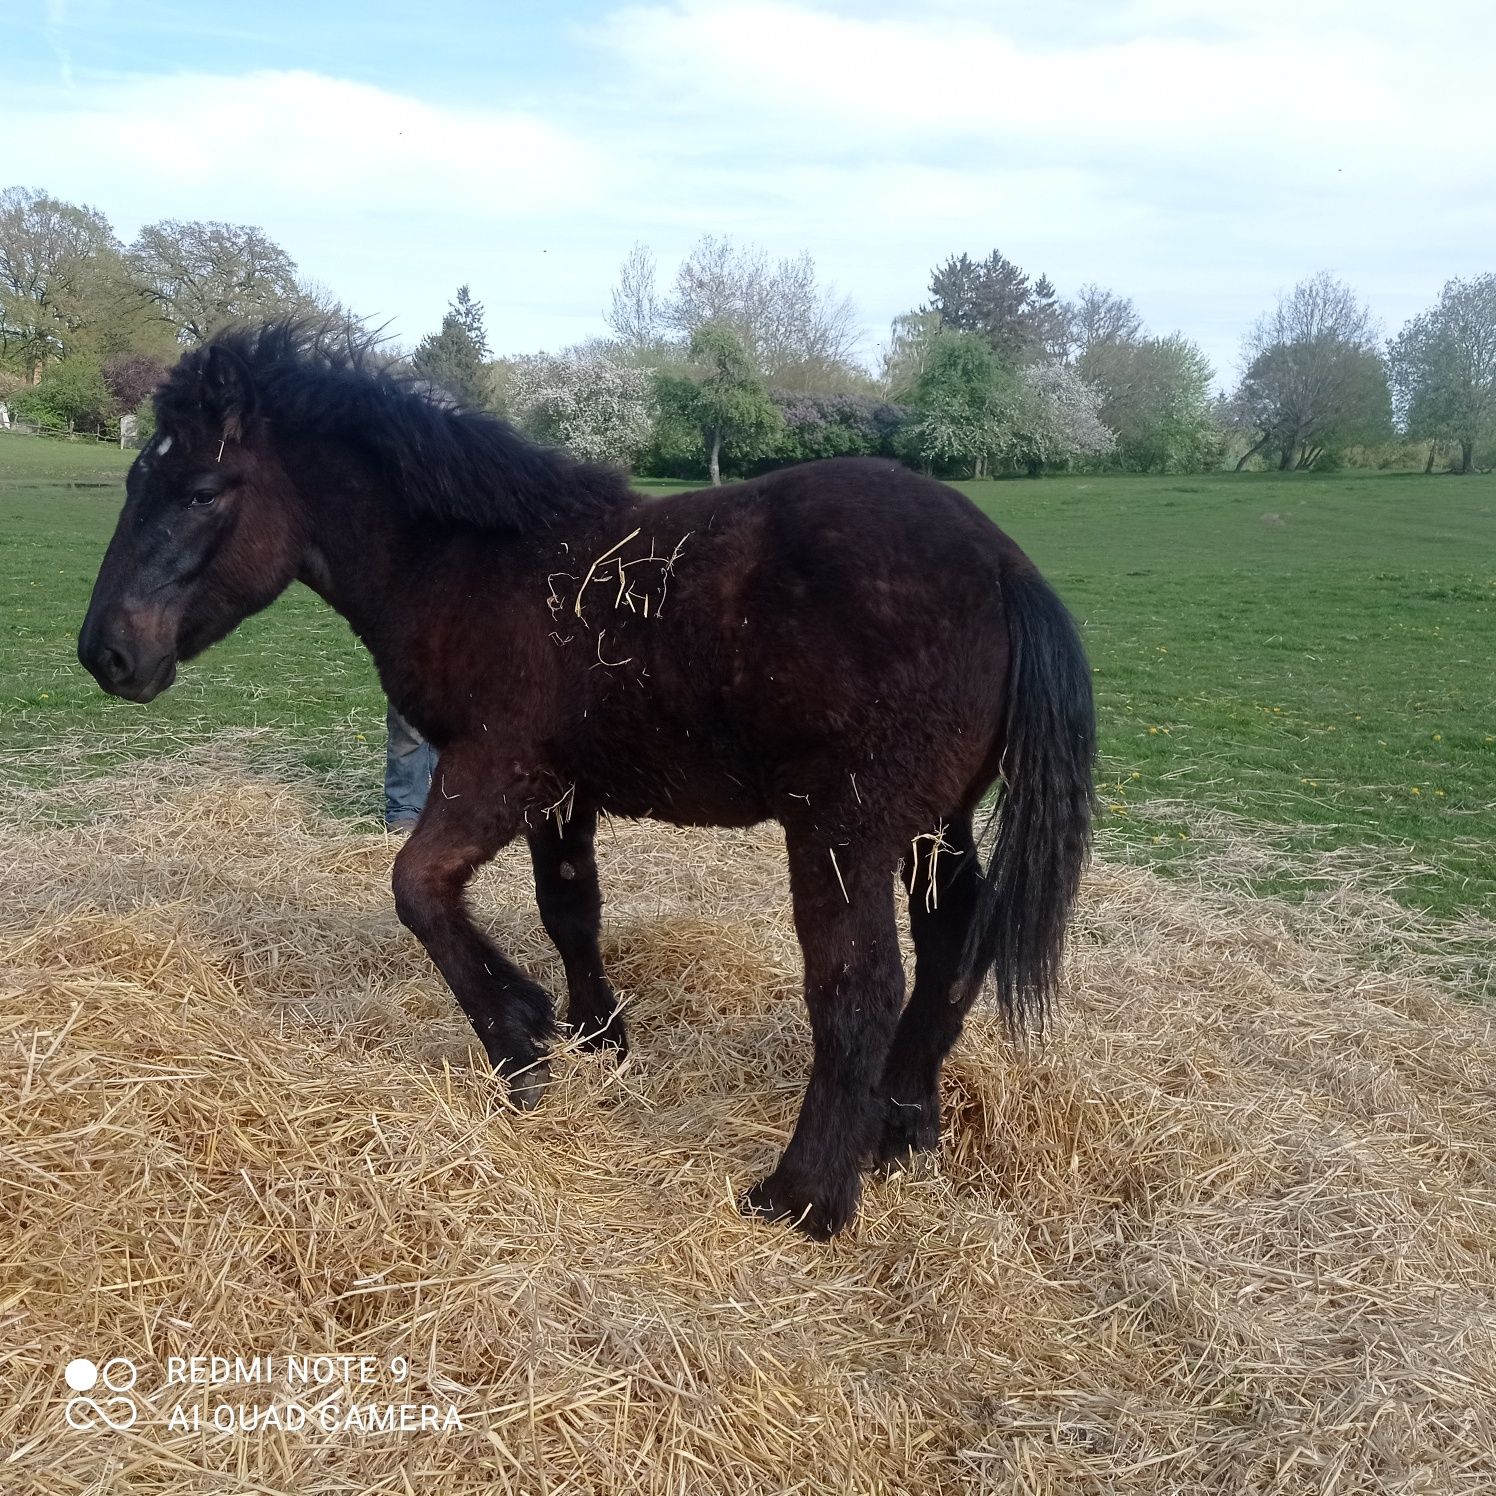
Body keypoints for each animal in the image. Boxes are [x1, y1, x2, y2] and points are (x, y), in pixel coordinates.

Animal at [78, 327, 1089, 1238]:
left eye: (202, 491)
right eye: (134, 484)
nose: (107, 655)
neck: (472, 564)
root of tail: (1004, 565)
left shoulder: (496, 767)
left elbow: (419, 889)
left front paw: (520, 1046)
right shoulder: (562, 794)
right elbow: (570, 909)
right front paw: (595, 1035)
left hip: (844, 830)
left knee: (858, 986)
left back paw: (804, 1197)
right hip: (934, 823)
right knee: (955, 947)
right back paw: (903, 1129)